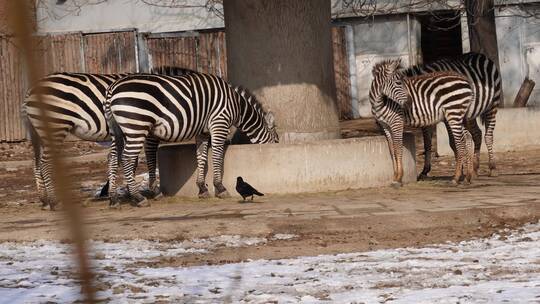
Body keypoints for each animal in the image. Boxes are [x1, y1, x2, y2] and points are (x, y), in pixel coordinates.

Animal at [23, 68, 196, 210]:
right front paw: (149, 191)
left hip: (39, 132)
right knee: (44, 163)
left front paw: (124, 193)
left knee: (35, 163)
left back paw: (44, 200)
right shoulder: (144, 130)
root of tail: (30, 90)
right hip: (55, 126)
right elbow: (148, 157)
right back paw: (54, 202)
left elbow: (126, 161)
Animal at [104, 72, 278, 208]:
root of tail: (112, 88)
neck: (237, 105)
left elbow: (201, 157)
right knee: (127, 158)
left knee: (112, 158)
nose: (277, 145)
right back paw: (139, 198)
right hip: (136, 126)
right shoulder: (219, 123)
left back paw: (114, 199)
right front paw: (220, 188)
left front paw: (202, 189)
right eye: (276, 141)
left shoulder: (202, 132)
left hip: (117, 130)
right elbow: (216, 156)